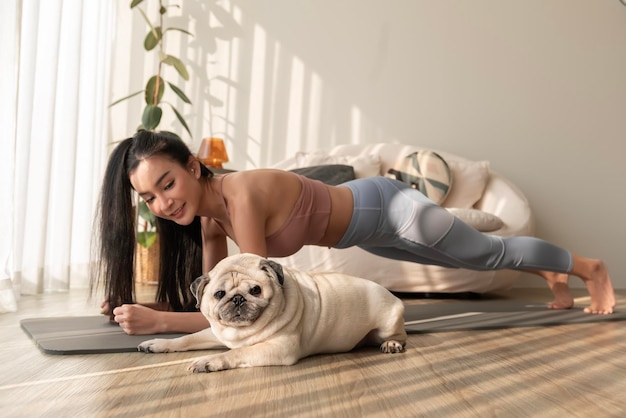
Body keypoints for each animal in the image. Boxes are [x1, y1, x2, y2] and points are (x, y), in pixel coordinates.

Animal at [136, 251, 404, 372]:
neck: (241, 332)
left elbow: (235, 353)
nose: (237, 299)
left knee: (399, 335)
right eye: (219, 294)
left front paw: (209, 361)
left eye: (256, 290)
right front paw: (158, 344)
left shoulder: (278, 348)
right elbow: (186, 339)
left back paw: (392, 344)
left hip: (388, 321)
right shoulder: (214, 333)